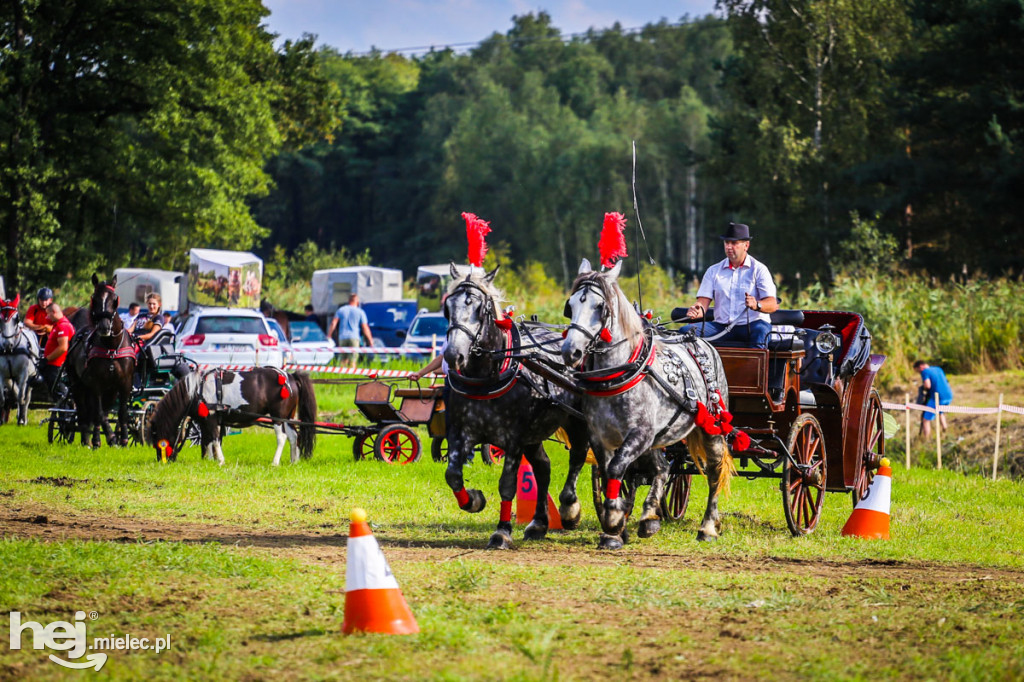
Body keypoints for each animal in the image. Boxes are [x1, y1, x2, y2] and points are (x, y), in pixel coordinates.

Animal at [0, 292, 39, 425]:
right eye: (0, 319)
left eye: (16, 319)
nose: (7, 344)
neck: (11, 351)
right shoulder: (3, 375)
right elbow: (3, 397)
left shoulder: (24, 374)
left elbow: (21, 396)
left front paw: (22, 418)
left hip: (31, 377)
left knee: (26, 397)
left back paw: (23, 417)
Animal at [146, 364, 317, 464]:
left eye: (156, 436)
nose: (162, 460)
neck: (196, 390)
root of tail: (290, 377)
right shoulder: (205, 420)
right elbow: (207, 440)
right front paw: (209, 460)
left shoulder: (211, 417)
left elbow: (214, 439)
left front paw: (220, 460)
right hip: (287, 417)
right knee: (294, 436)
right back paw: (294, 461)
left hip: (278, 417)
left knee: (282, 437)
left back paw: (275, 462)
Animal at [440, 266, 593, 548]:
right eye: (448, 308)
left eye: (479, 308)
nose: (453, 355)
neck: (484, 377)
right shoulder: (458, 431)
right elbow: (453, 474)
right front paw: (474, 500)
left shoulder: (512, 439)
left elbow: (507, 484)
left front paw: (502, 531)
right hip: (534, 434)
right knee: (543, 467)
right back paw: (539, 523)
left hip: (576, 422)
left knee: (578, 455)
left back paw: (569, 509)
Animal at [561, 258, 737, 548]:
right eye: (571, 305)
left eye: (599, 306)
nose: (570, 352)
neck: (618, 374)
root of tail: (701, 341)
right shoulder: (599, 436)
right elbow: (609, 472)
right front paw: (616, 526)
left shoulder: (639, 434)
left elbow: (617, 468)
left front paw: (614, 518)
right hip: (658, 437)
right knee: (662, 467)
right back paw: (649, 517)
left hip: (710, 425)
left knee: (714, 472)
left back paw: (708, 527)